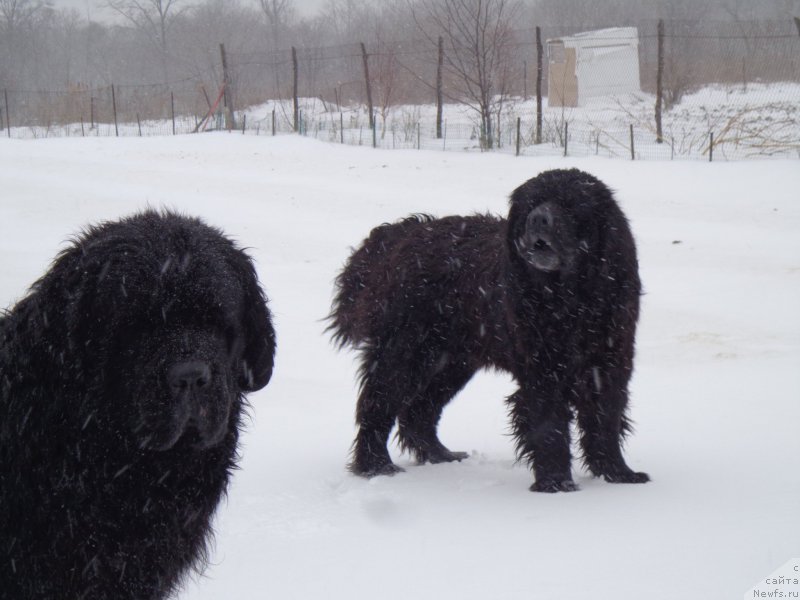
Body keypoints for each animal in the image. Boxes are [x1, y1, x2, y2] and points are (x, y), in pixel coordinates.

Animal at [332, 168, 648, 492]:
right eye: (531, 204)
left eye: (570, 204)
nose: (538, 218)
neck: (570, 299)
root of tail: (405, 233)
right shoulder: (542, 371)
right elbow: (549, 428)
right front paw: (555, 483)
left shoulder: (608, 364)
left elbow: (606, 422)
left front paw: (617, 475)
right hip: (405, 352)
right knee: (376, 405)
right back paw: (375, 466)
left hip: (451, 362)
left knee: (419, 412)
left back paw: (440, 455)